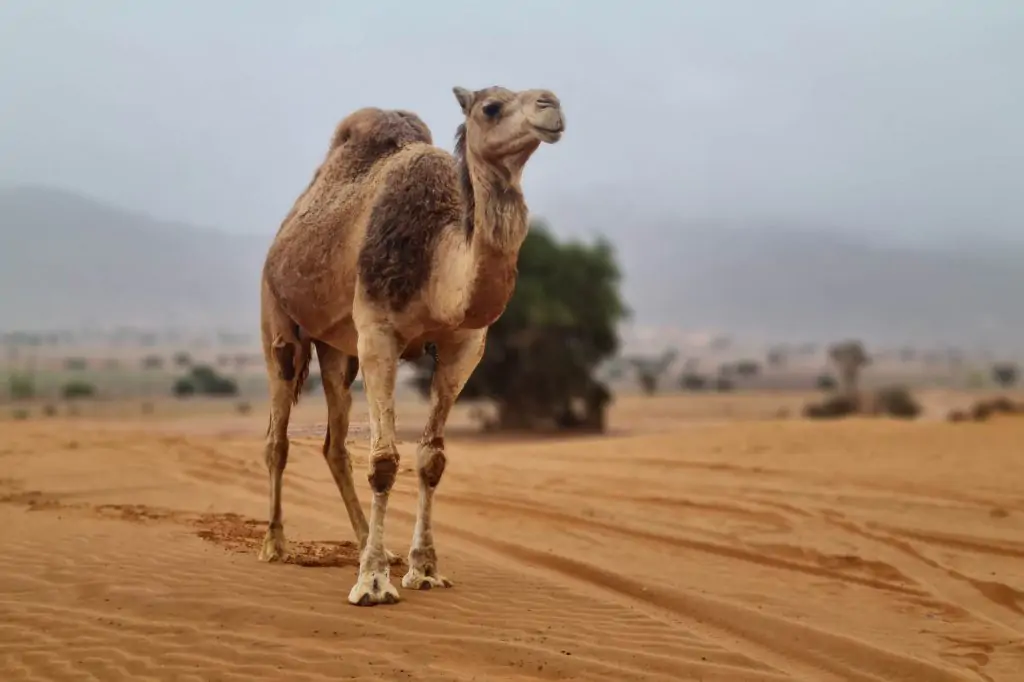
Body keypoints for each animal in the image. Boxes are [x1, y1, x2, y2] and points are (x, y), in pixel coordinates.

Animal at [253, 86, 561, 606]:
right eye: (491, 107)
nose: (551, 105)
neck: (436, 253)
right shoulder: (378, 332)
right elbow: (383, 460)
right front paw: (373, 584)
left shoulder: (464, 345)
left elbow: (431, 458)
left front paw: (424, 569)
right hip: (278, 318)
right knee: (279, 433)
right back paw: (275, 545)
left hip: (339, 351)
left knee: (335, 444)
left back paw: (368, 543)